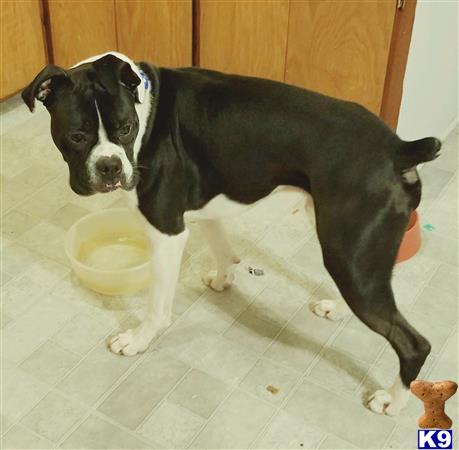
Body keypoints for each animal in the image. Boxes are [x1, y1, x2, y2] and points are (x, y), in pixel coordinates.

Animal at [22, 51, 442, 414]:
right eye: (77, 136)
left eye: (125, 128)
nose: (109, 166)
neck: (145, 108)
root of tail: (398, 147)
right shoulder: (205, 207)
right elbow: (223, 248)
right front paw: (224, 279)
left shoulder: (166, 233)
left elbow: (157, 305)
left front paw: (138, 340)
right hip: (348, 249)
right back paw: (336, 309)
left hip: (349, 252)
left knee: (414, 343)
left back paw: (391, 401)